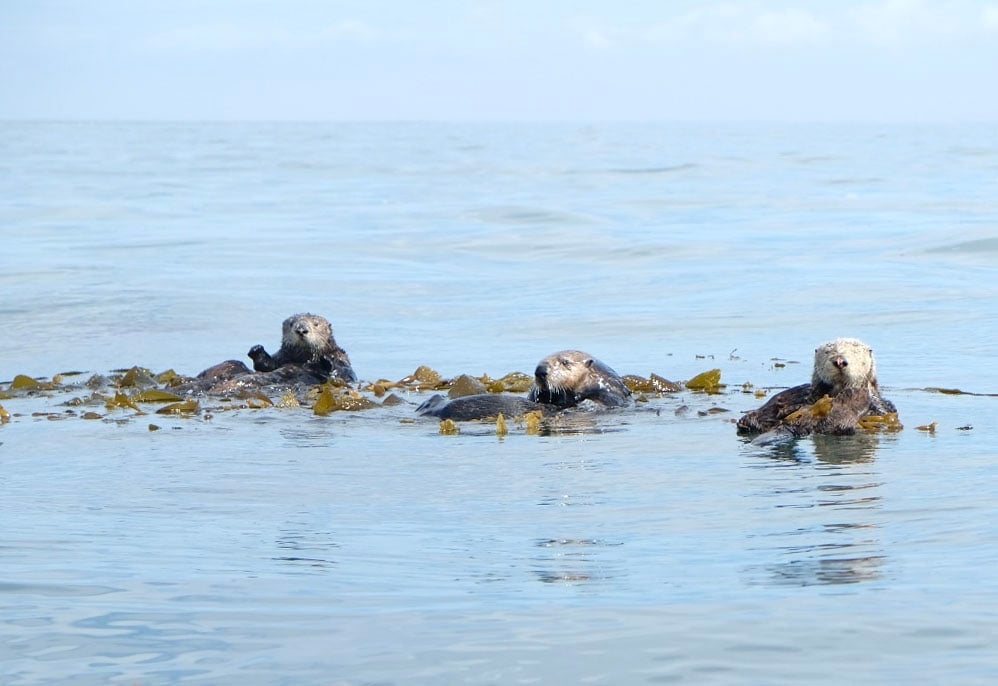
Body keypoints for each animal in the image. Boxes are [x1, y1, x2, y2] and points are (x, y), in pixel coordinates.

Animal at [737, 338, 898, 439]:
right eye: (828, 352)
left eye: (854, 353)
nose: (839, 361)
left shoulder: (879, 407)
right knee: (750, 419)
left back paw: (854, 396)